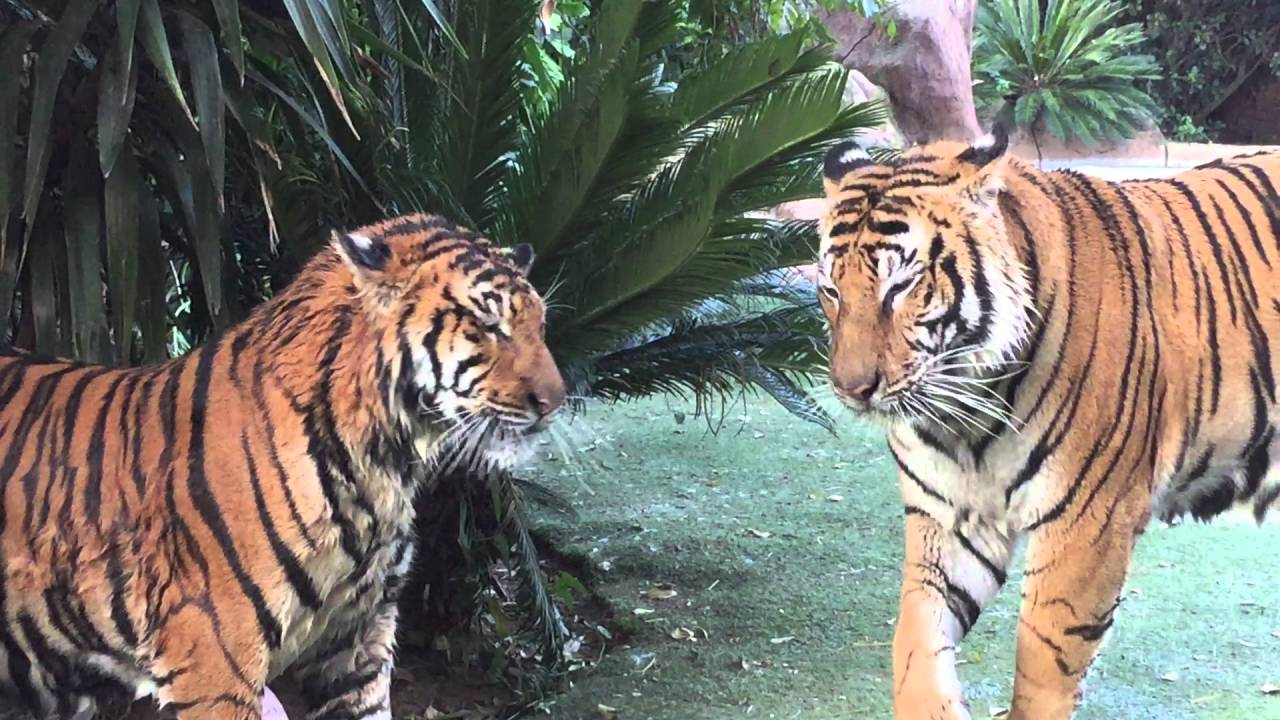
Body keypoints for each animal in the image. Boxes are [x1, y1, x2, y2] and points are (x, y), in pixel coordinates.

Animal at [0, 213, 565, 719]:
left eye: (541, 324)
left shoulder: (356, 640)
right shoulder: (215, 659)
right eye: (488, 324)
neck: (385, 463)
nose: (555, 401)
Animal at [816, 128, 1280, 719]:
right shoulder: (946, 520)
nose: (852, 388)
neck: (964, 419)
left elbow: (1043, 664)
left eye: (900, 287)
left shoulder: (1087, 524)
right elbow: (915, 642)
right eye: (831, 290)